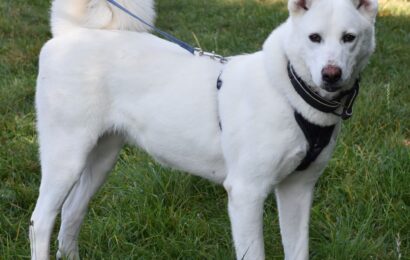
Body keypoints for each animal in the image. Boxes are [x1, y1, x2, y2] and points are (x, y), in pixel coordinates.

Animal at [29, 0, 378, 258]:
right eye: (314, 37)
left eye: (349, 37)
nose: (331, 74)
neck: (289, 90)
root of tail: (71, 34)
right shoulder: (246, 193)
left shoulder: (299, 189)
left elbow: (298, 250)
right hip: (66, 157)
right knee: (41, 221)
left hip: (101, 160)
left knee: (72, 213)